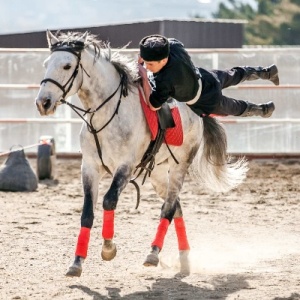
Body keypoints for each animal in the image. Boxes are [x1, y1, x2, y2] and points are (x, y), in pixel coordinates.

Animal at [35, 30, 247, 276]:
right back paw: (184, 259)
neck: (108, 114)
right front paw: (77, 262)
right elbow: (87, 212)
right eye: (46, 64)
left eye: (67, 65)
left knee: (168, 208)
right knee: (177, 208)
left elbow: (109, 201)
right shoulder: (89, 167)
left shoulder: (125, 167)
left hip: (179, 167)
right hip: (158, 174)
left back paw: (153, 254)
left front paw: (108, 248)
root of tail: (196, 112)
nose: (43, 102)